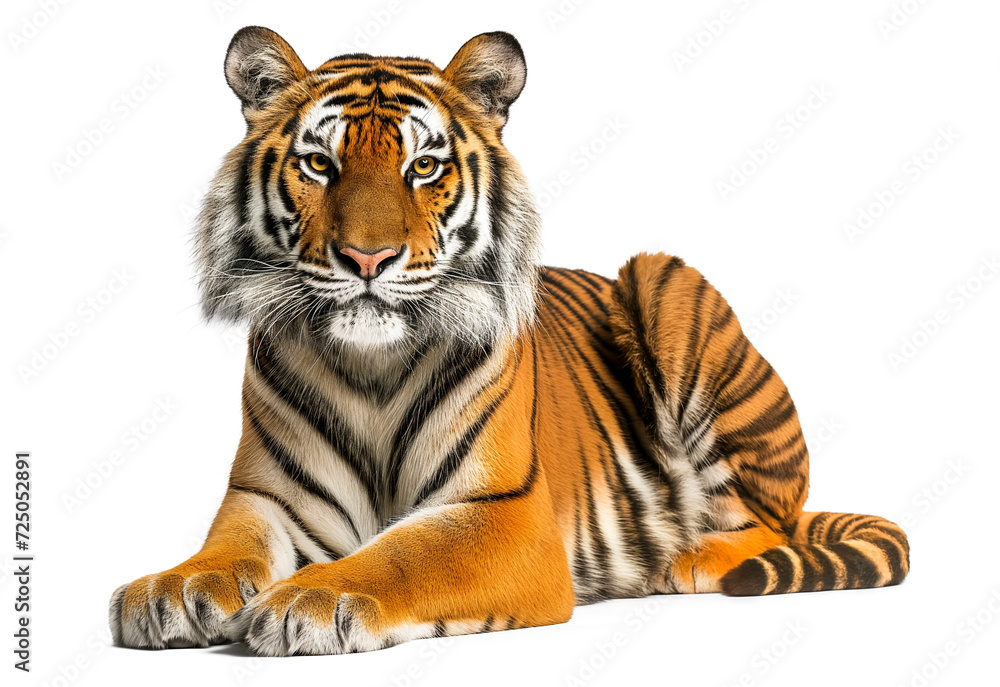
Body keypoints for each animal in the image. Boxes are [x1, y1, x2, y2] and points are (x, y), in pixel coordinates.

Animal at [109, 27, 910, 656]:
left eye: (423, 166)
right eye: (319, 164)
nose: (368, 259)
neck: (371, 365)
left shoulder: (504, 512)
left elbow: (403, 553)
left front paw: (309, 598)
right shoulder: (265, 496)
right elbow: (226, 547)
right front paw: (171, 589)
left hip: (663, 279)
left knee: (765, 524)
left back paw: (684, 557)